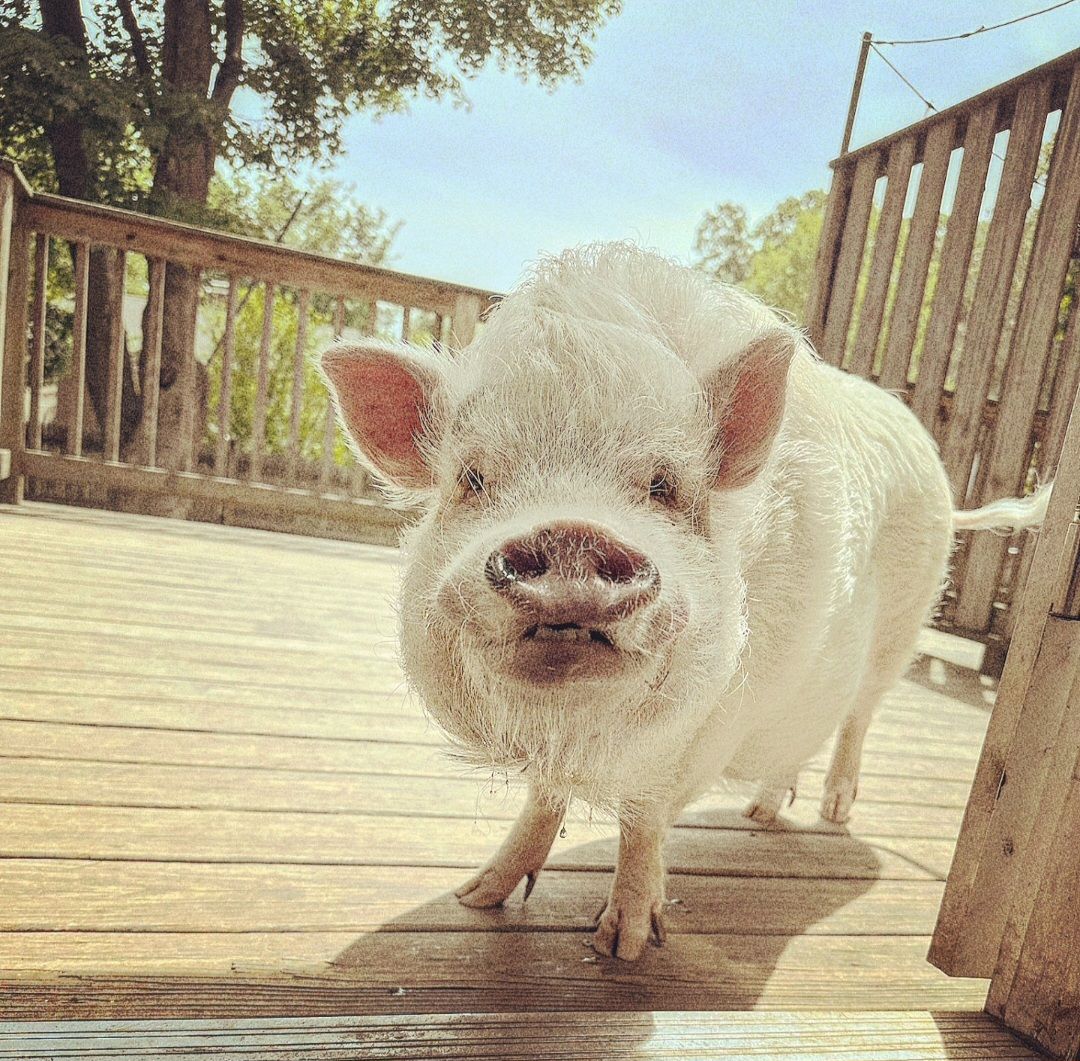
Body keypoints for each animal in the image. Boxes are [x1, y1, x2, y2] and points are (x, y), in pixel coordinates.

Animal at [321, 243, 1048, 960]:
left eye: (664, 486)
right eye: (471, 478)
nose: (572, 533)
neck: (584, 729)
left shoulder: (705, 727)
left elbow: (644, 817)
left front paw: (625, 945)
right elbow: (542, 801)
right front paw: (474, 899)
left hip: (900, 633)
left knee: (859, 716)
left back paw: (834, 812)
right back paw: (761, 813)